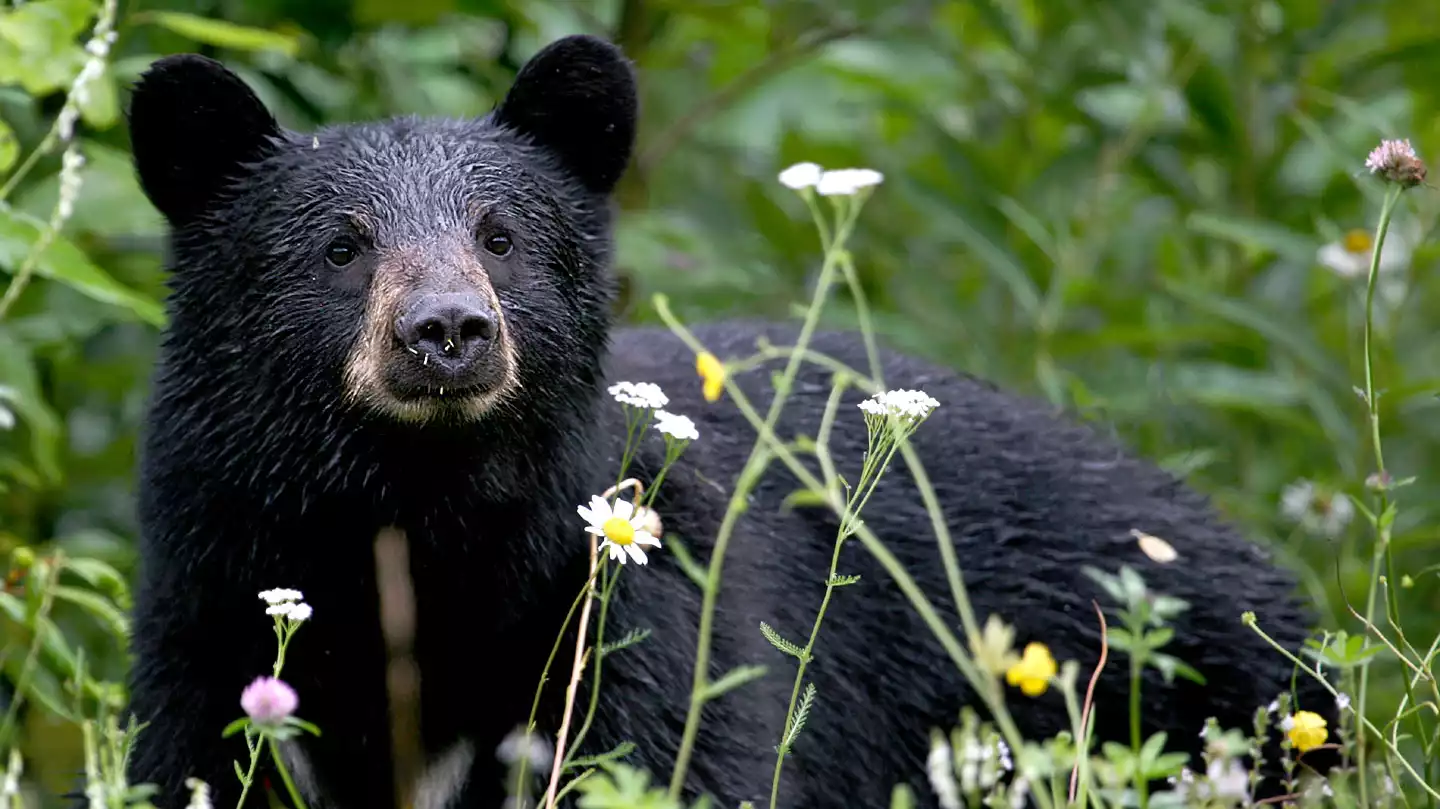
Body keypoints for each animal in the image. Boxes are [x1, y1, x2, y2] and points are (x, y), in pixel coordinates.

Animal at [119, 33, 1333, 809]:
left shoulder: (640, 604)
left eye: (501, 236)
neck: (422, 523)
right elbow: (189, 759)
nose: (449, 329)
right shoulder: (210, 591)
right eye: (343, 245)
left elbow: (679, 760)